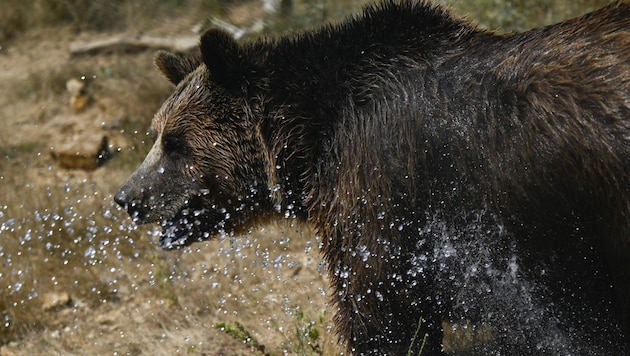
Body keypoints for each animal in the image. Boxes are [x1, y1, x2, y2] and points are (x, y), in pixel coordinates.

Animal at [116, 1, 630, 354]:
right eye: (156, 133)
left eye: (175, 143)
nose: (126, 196)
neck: (307, 142)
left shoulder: (383, 201)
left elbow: (381, 316)